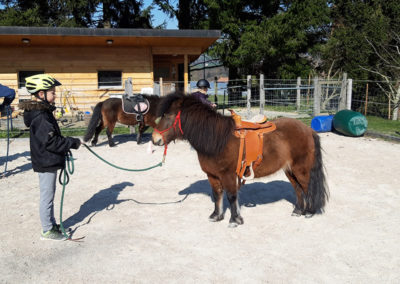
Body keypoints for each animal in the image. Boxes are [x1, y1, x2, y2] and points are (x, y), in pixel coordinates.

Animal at [152, 92, 328, 227]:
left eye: (168, 115)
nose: (155, 139)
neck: (217, 139)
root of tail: (308, 129)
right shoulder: (212, 176)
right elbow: (217, 195)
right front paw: (216, 216)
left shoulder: (228, 175)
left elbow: (231, 196)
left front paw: (234, 220)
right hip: (289, 170)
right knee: (298, 189)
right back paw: (298, 211)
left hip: (301, 169)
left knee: (307, 187)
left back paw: (309, 212)